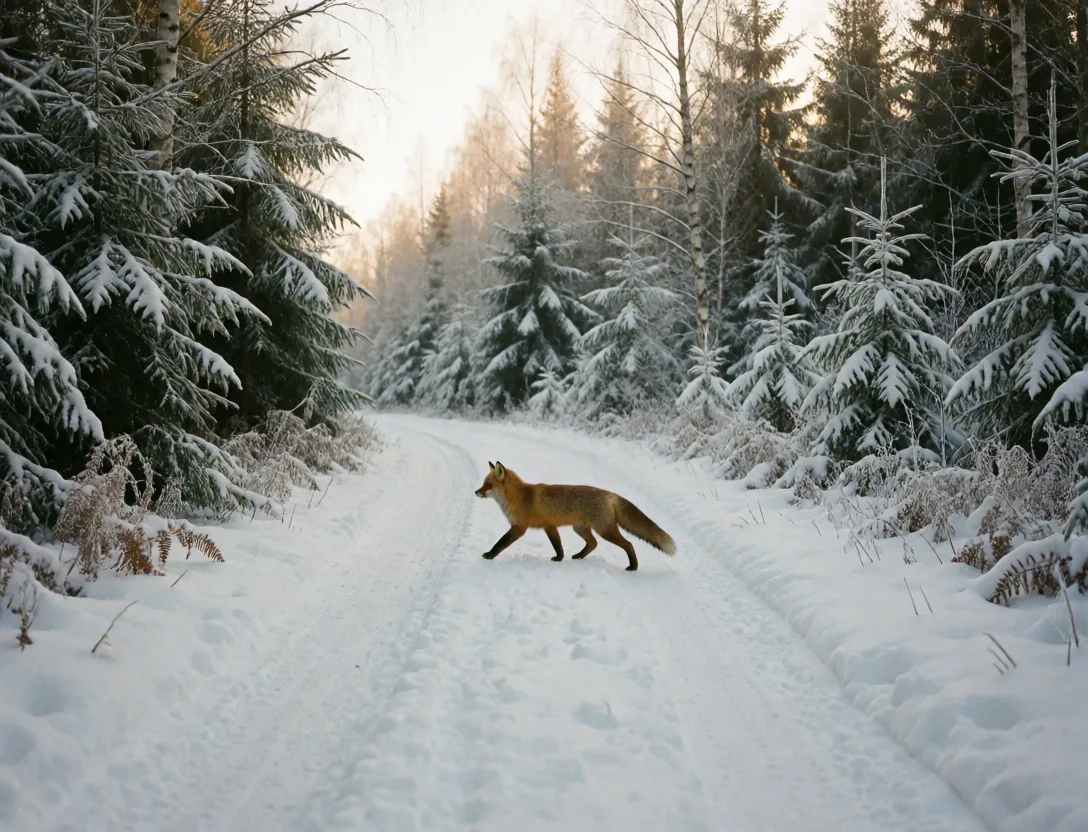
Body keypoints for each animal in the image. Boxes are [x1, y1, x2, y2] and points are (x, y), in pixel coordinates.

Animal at [473, 461, 676, 572]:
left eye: (488, 484)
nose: (475, 492)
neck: (520, 497)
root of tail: (610, 494)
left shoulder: (518, 528)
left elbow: (500, 543)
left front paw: (489, 555)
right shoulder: (549, 525)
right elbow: (558, 546)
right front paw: (559, 558)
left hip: (605, 530)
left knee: (628, 544)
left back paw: (633, 567)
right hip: (580, 529)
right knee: (593, 544)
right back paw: (578, 556)